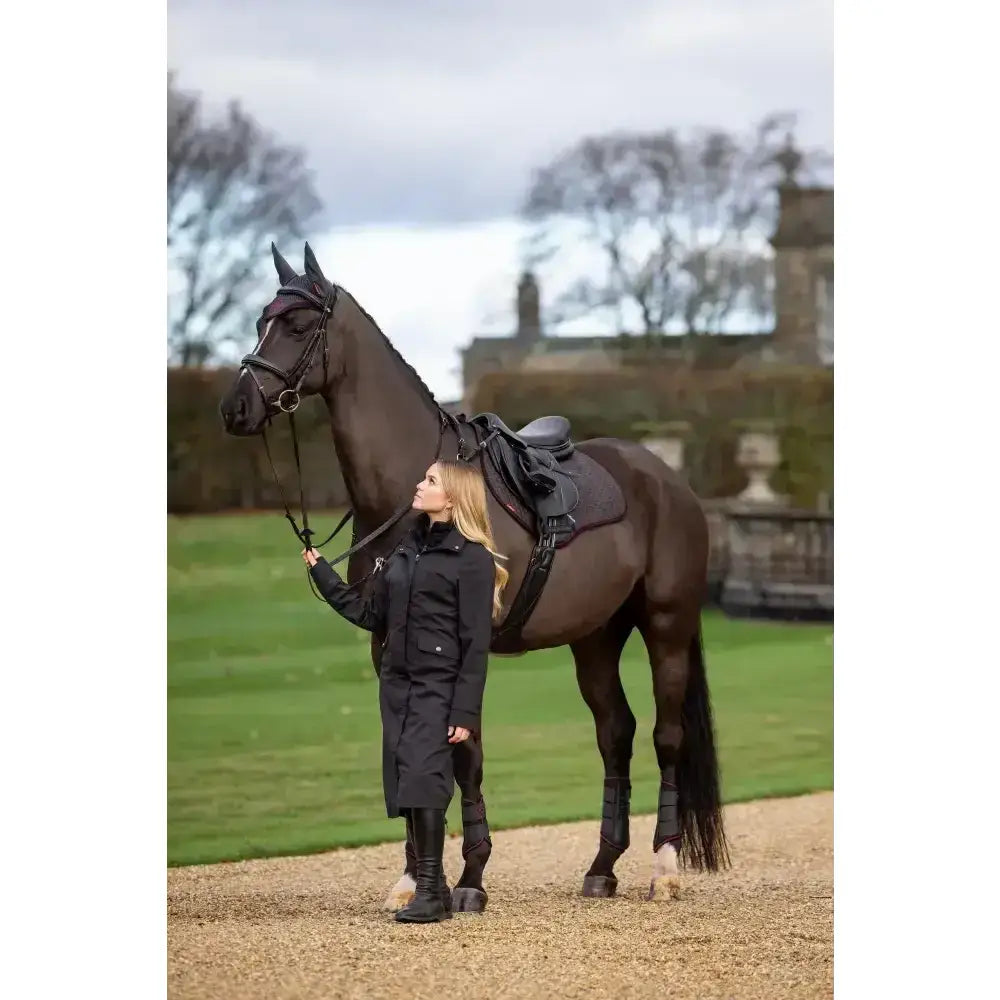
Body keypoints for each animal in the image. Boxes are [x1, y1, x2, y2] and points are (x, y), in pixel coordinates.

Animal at [219, 243, 729, 911]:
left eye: (299, 326)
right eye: (261, 321)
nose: (235, 407)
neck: (416, 503)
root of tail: (667, 478)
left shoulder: (468, 646)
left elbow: (467, 755)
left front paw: (469, 878)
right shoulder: (389, 648)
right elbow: (406, 748)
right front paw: (414, 879)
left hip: (666, 626)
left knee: (668, 737)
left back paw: (663, 868)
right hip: (594, 639)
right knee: (615, 732)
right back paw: (601, 866)